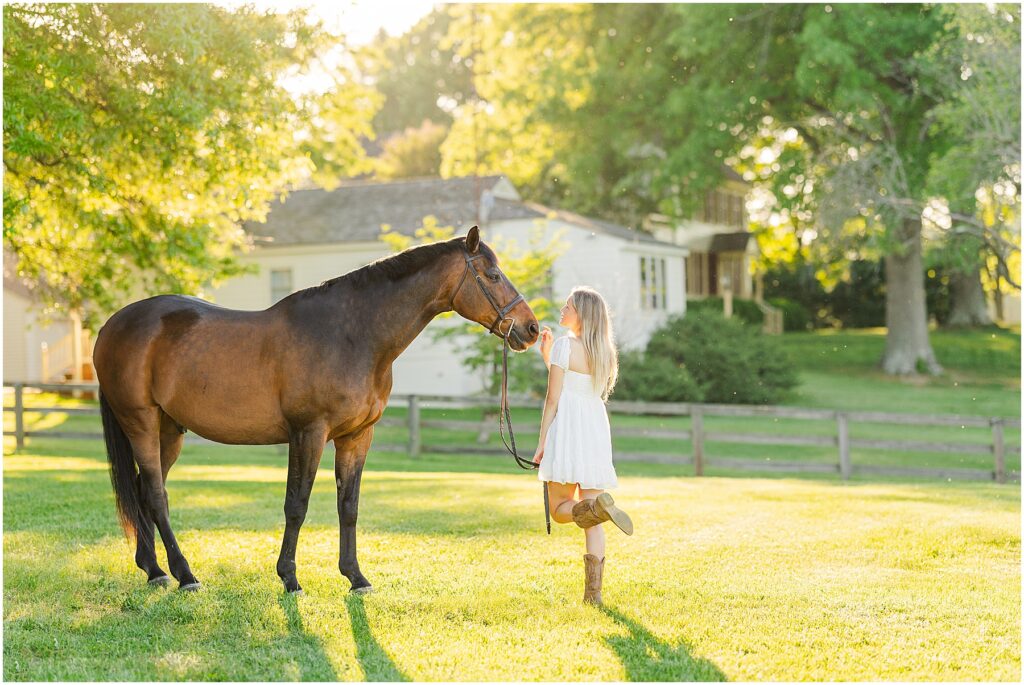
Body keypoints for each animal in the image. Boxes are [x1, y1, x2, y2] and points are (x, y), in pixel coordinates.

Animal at [93, 227, 540, 589]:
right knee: (155, 494)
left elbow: (349, 506)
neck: (352, 335)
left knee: (143, 492)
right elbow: (297, 505)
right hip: (141, 424)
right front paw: (289, 577)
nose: (531, 328)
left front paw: (355, 577)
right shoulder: (308, 433)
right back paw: (184, 574)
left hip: (170, 430)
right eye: (493, 276)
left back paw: (154, 569)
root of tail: (111, 325)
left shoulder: (357, 437)